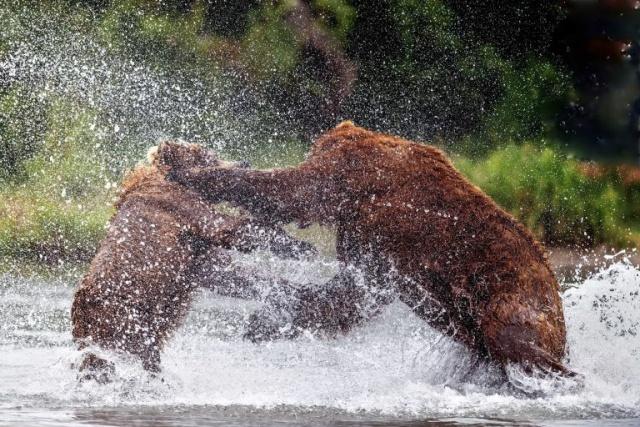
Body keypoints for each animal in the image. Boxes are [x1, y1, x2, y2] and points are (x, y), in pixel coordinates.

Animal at [71, 141, 315, 381]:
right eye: (209, 157)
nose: (243, 162)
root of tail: (81, 319)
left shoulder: (196, 261)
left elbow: (230, 275)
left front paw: (296, 290)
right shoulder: (184, 210)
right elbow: (233, 228)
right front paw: (300, 247)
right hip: (125, 316)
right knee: (141, 350)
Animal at [165, 121, 573, 378]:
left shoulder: (362, 190)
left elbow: (292, 191)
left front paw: (187, 169)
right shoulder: (375, 253)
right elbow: (349, 294)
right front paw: (265, 320)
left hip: (511, 295)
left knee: (512, 337)